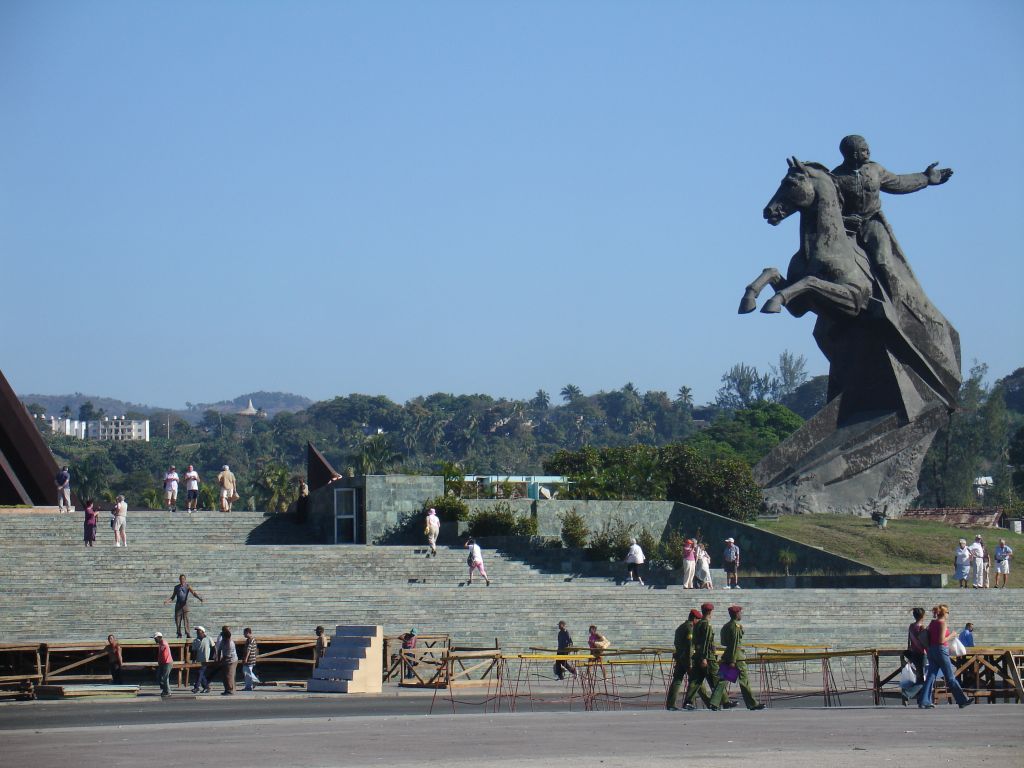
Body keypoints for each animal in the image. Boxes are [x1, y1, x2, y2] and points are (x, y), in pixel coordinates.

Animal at [737, 157, 872, 317]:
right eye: (782, 181)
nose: (768, 211)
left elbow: (810, 280)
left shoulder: (853, 297)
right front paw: (748, 300)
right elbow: (772, 271)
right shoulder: (799, 306)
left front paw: (773, 302)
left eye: (791, 183)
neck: (831, 247)